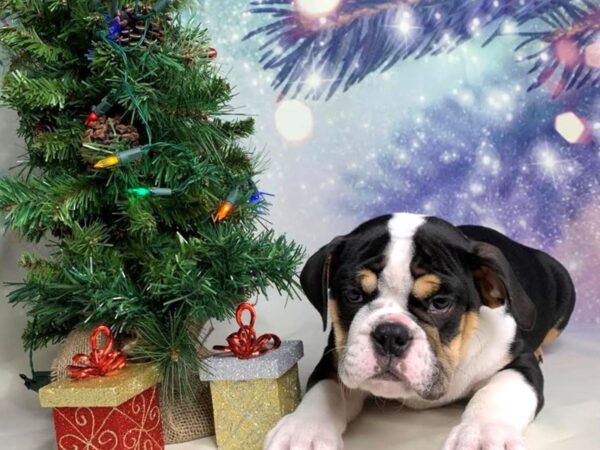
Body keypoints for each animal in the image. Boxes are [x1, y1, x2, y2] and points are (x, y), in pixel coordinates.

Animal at [264, 213, 576, 448]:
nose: (391, 334)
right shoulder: (336, 358)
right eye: (353, 295)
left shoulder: (519, 362)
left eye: (440, 303)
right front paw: (302, 430)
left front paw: (482, 435)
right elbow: (324, 391)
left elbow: (499, 391)